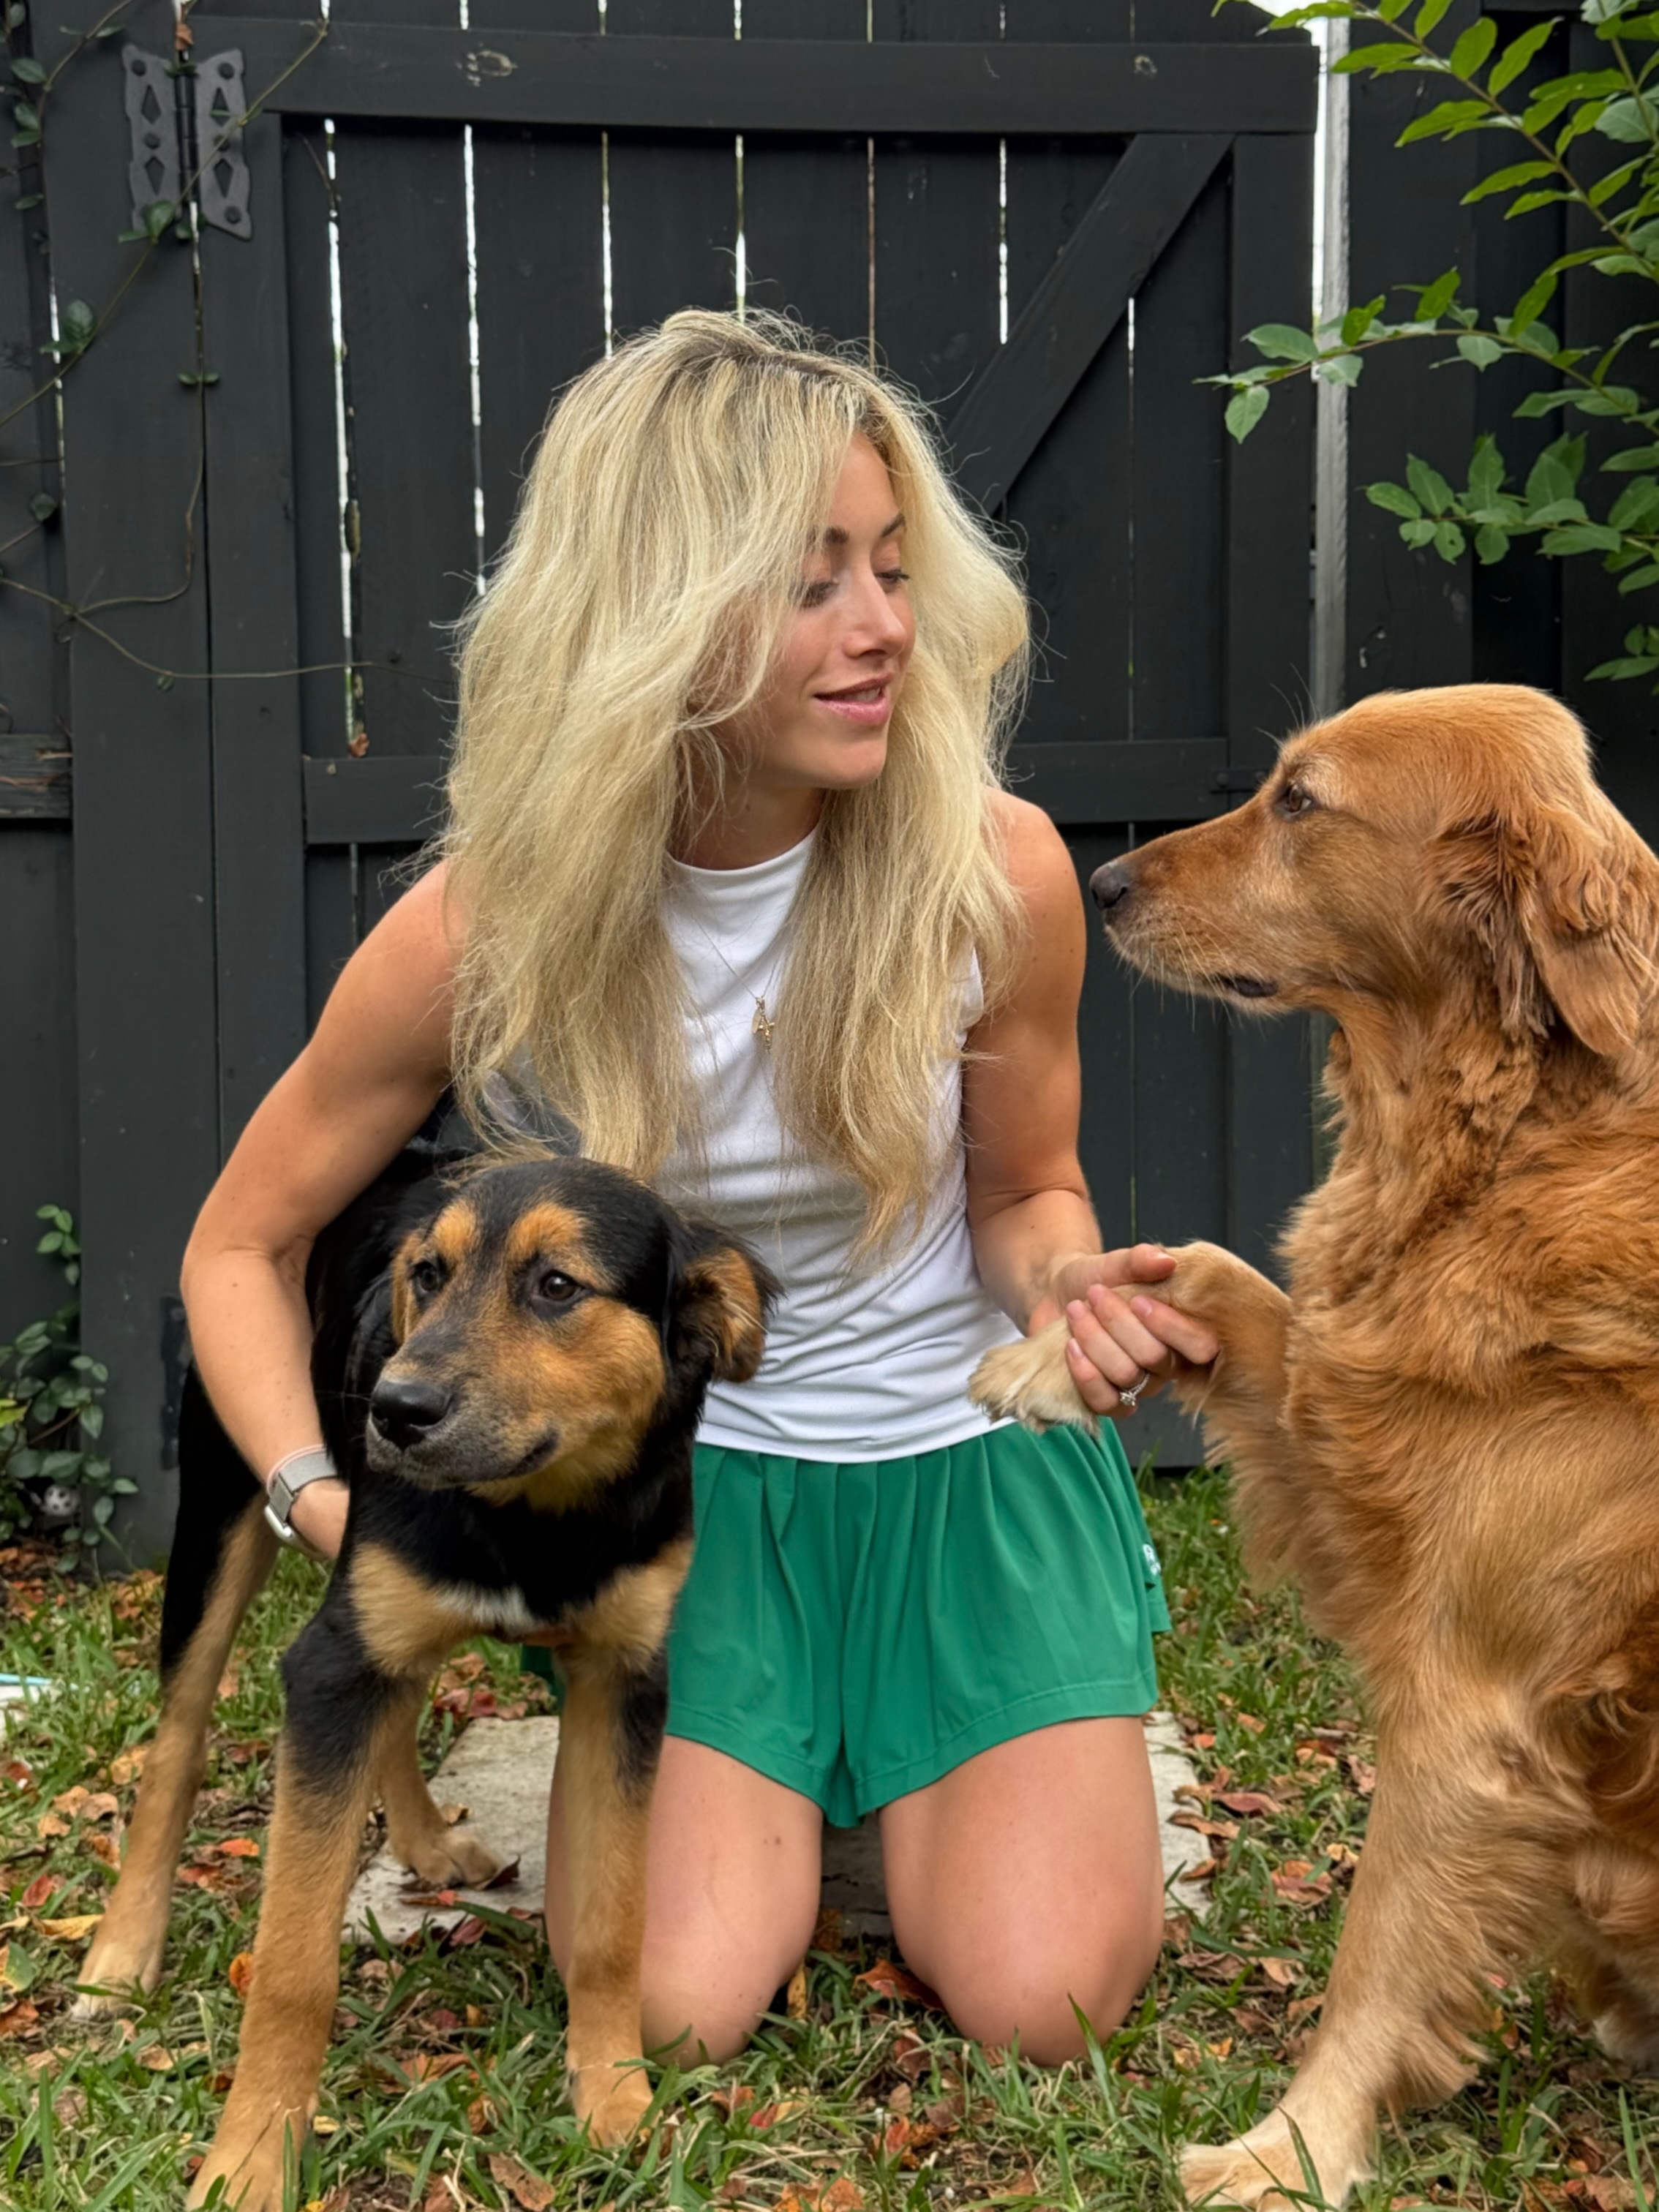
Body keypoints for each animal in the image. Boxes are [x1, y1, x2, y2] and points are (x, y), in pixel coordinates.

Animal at [76, 1146, 773, 2212]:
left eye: (557, 1286)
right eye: (427, 1276)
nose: (394, 1413)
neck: (534, 1516)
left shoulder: (624, 1681)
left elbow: (614, 1921)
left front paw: (614, 2097)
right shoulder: (331, 1665)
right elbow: (293, 1967)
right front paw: (251, 2160)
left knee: (399, 1702)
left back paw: (425, 1841)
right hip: (225, 1518)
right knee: (178, 1744)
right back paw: (122, 1950)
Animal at [973, 685, 1659, 2208]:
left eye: (1299, 799)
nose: (1100, 882)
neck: (1502, 1138)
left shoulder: (1468, 1697)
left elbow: (1379, 1945)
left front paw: (1288, 2147)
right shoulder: (1348, 1439)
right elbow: (1208, 1267)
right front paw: (1057, 1351)